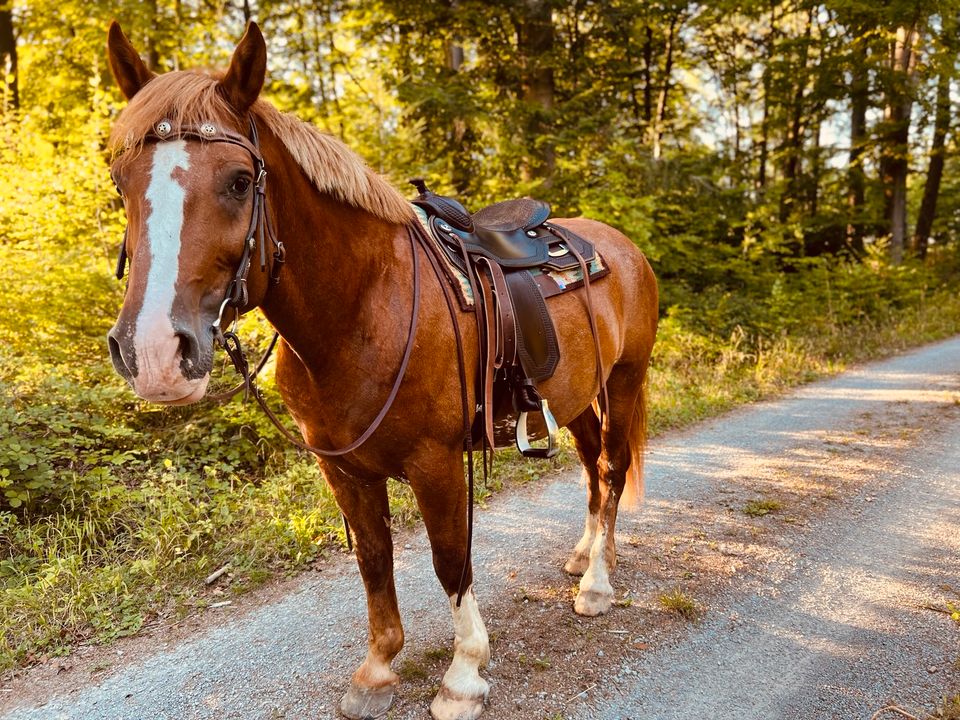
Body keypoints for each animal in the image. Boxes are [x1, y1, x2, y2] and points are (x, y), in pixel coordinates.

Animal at [107, 19, 660, 716]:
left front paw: (463, 676)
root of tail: (620, 245)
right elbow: (374, 557)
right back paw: (587, 555)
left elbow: (450, 560)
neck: (362, 308)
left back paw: (596, 585)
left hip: (625, 379)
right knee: (592, 469)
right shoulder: (342, 468)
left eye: (237, 180)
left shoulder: (436, 462)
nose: (154, 353)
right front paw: (377, 668)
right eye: (121, 183)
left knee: (611, 470)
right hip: (578, 393)